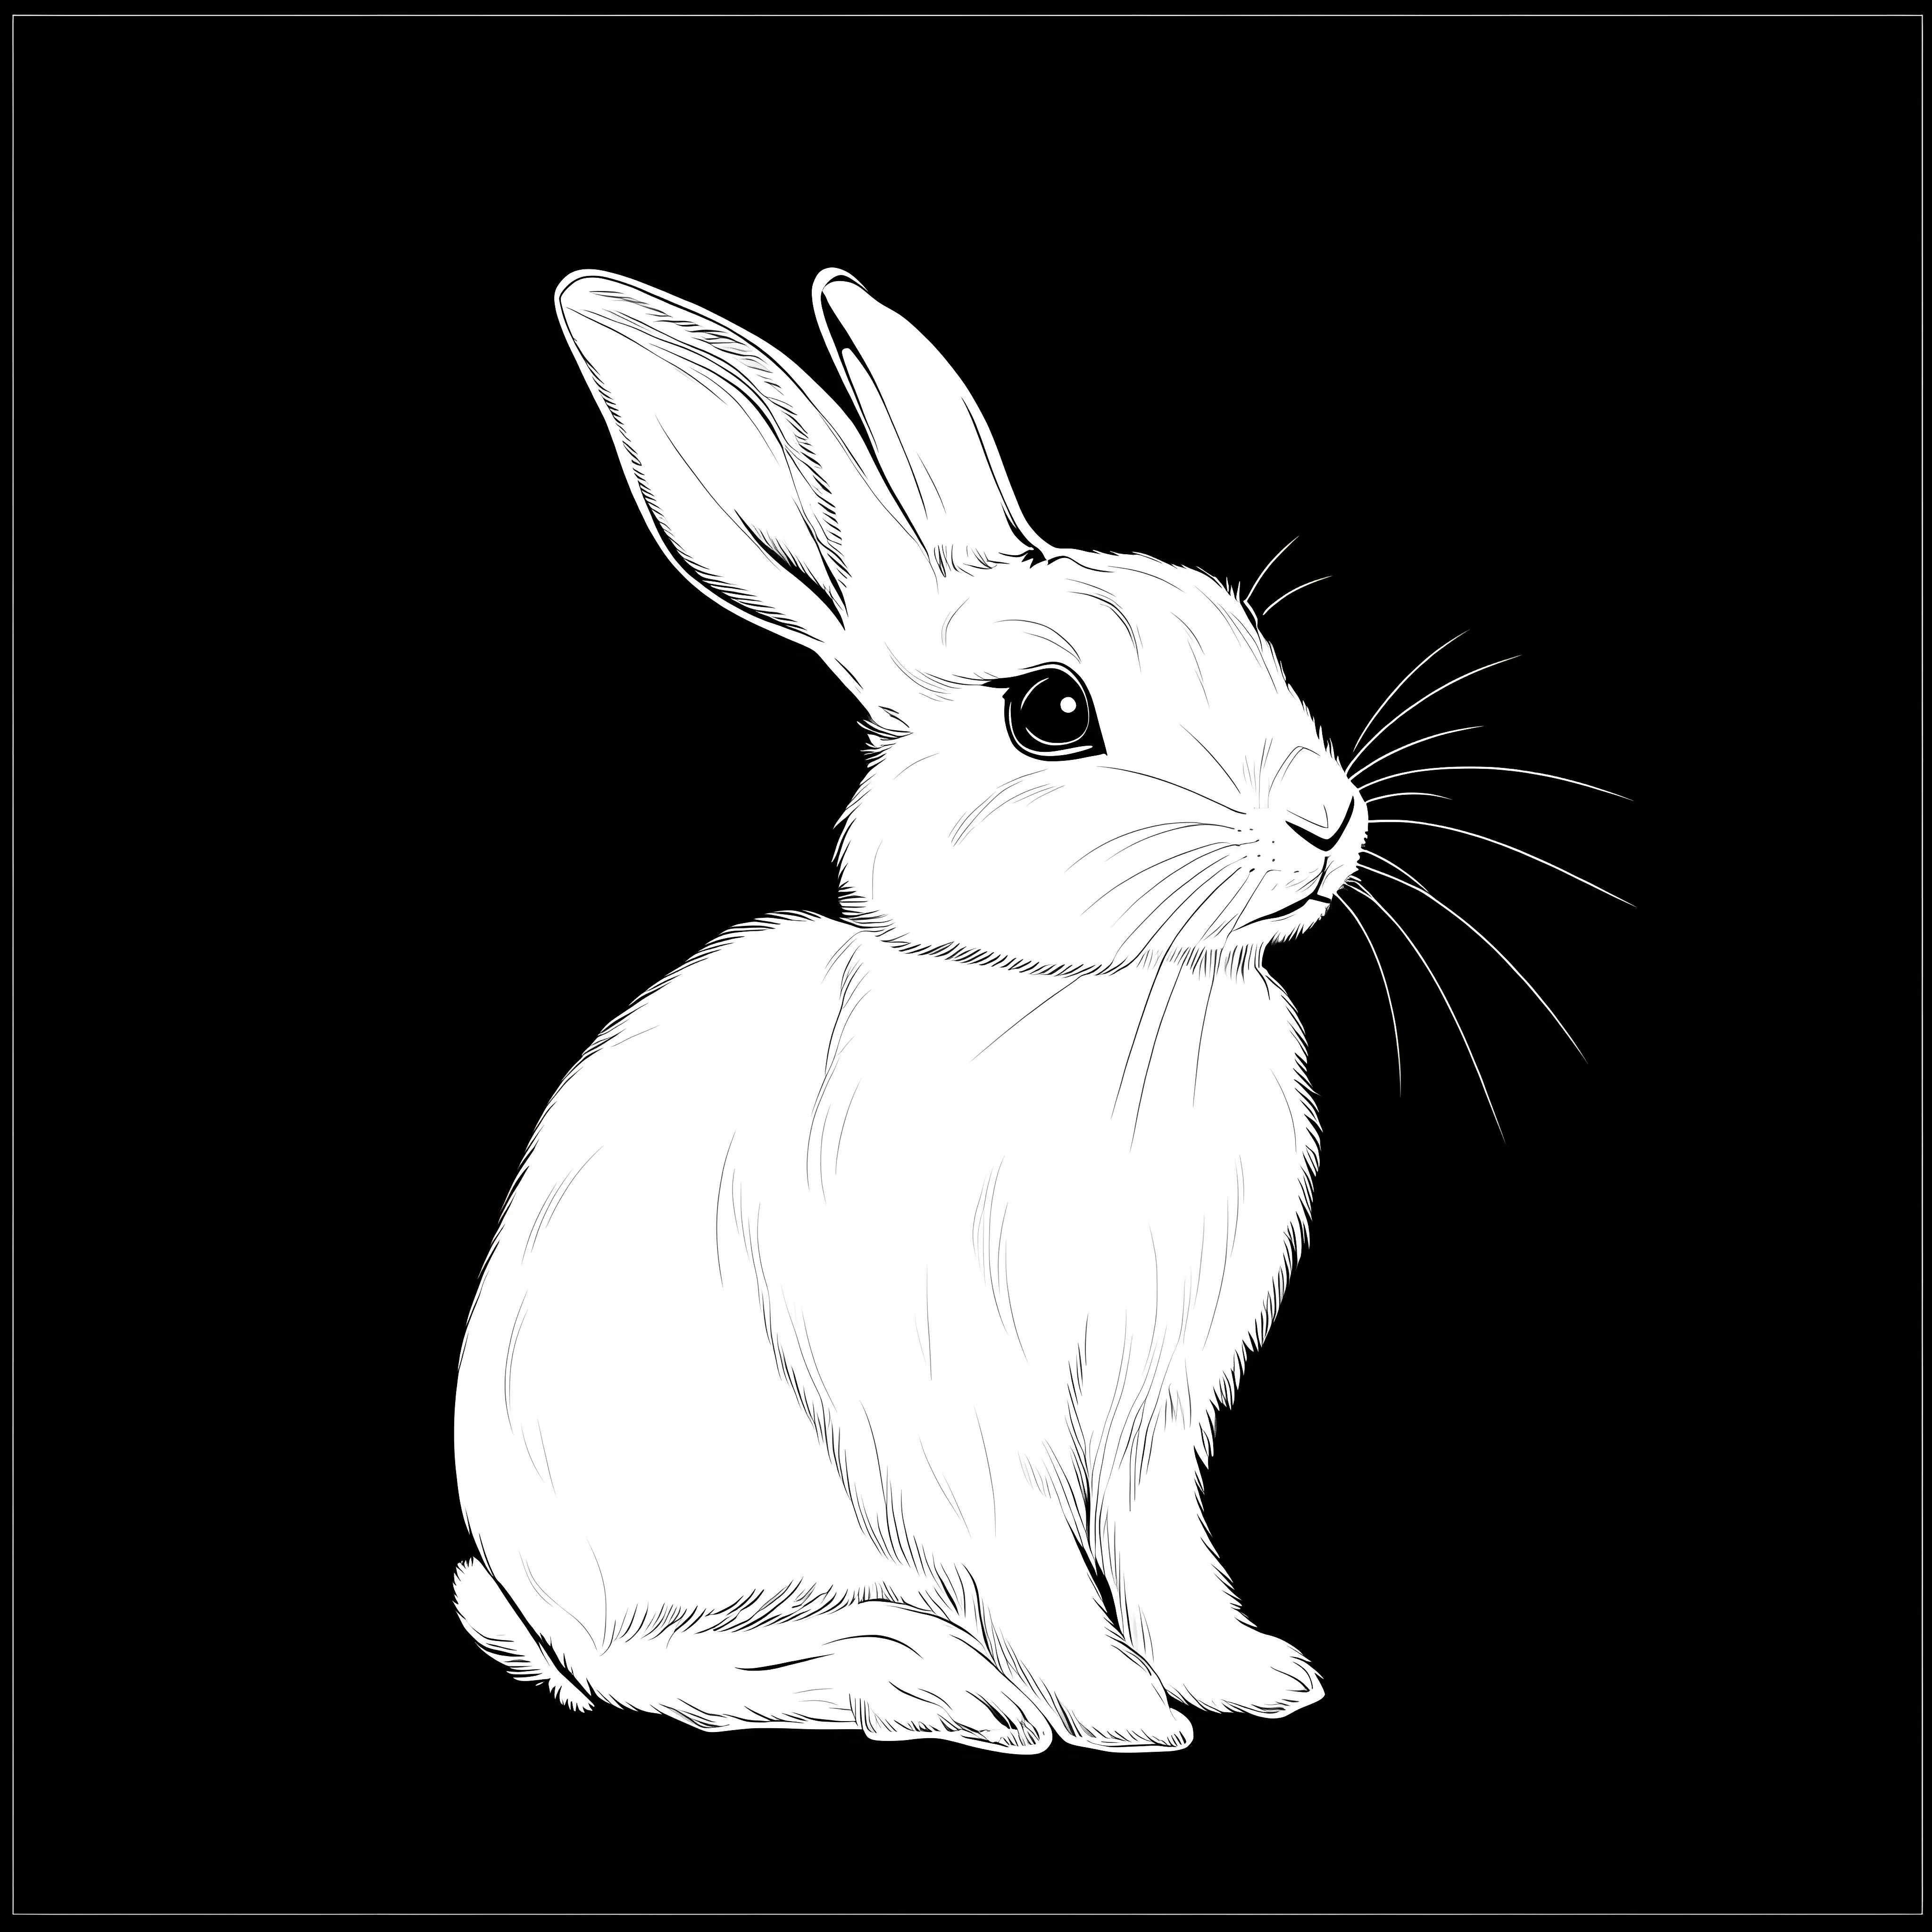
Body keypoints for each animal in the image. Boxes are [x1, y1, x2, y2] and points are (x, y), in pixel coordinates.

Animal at [452, 267, 1366, 1753]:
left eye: (1241, 633)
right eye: (1052, 712)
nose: (1327, 823)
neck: (1088, 993)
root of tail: (523, 1592)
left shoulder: (1154, 1414)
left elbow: (1162, 1548)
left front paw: (1246, 1680)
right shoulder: (948, 1406)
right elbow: (1030, 1563)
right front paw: (1120, 1716)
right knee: (659, 1668)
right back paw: (933, 1683)